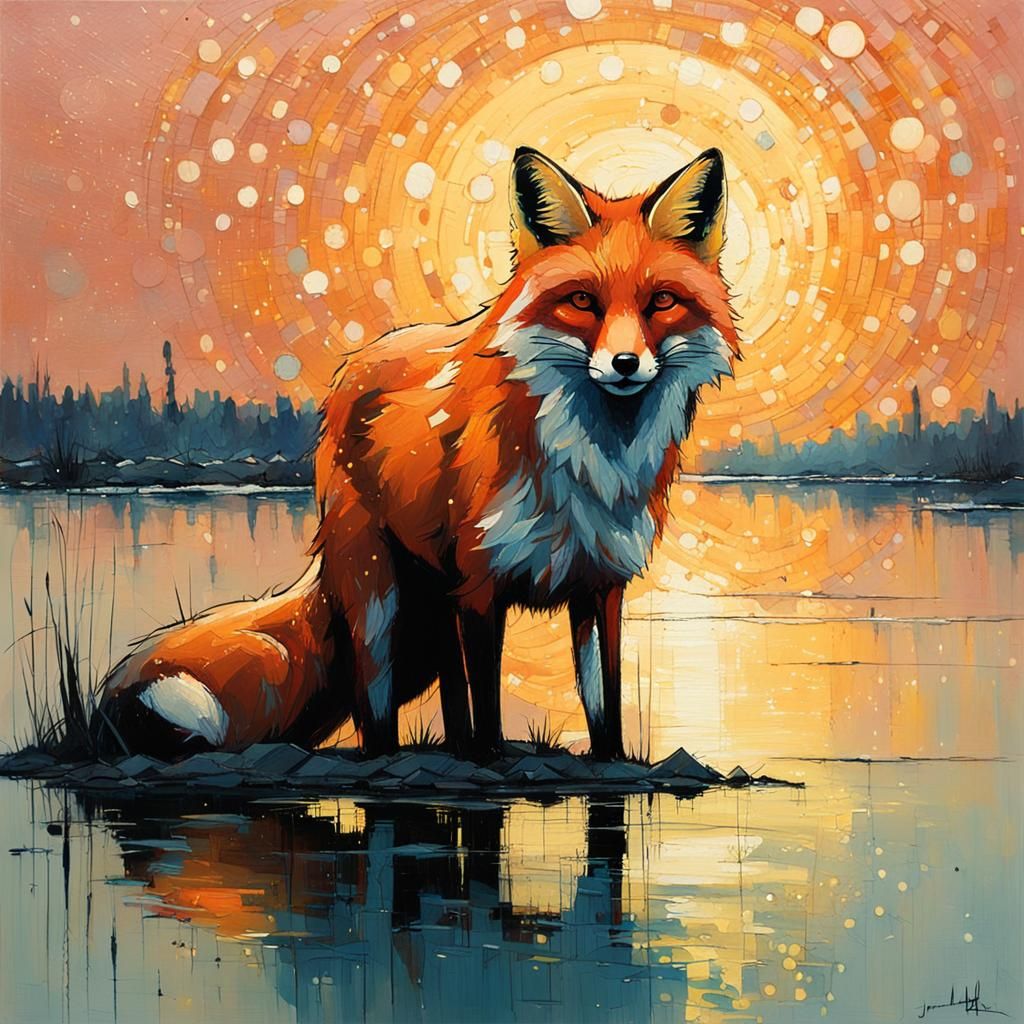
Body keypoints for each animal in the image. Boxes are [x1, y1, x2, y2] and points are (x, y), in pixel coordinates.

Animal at [93, 145, 739, 762]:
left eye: (661, 301)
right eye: (583, 300)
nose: (625, 365)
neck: (590, 464)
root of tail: (354, 368)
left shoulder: (599, 583)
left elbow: (604, 704)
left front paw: (607, 763)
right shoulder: (480, 582)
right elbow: (488, 700)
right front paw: (492, 764)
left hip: (429, 617)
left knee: (443, 694)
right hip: (381, 604)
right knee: (373, 712)